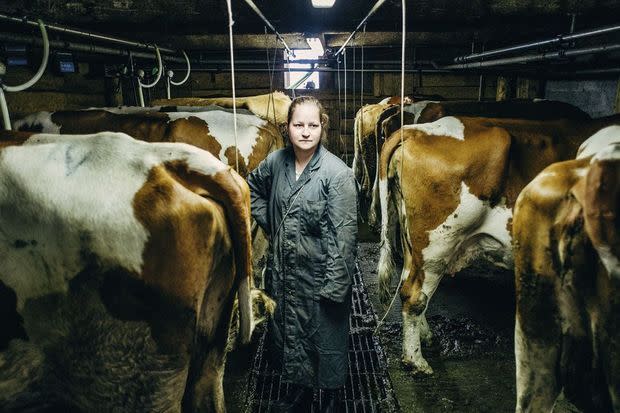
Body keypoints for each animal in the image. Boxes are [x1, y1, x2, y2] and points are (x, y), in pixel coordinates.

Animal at [372, 114, 620, 374]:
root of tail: (417, 130)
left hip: (414, 244)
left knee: (408, 284)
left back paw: (426, 337)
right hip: (437, 245)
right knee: (414, 295)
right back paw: (416, 360)